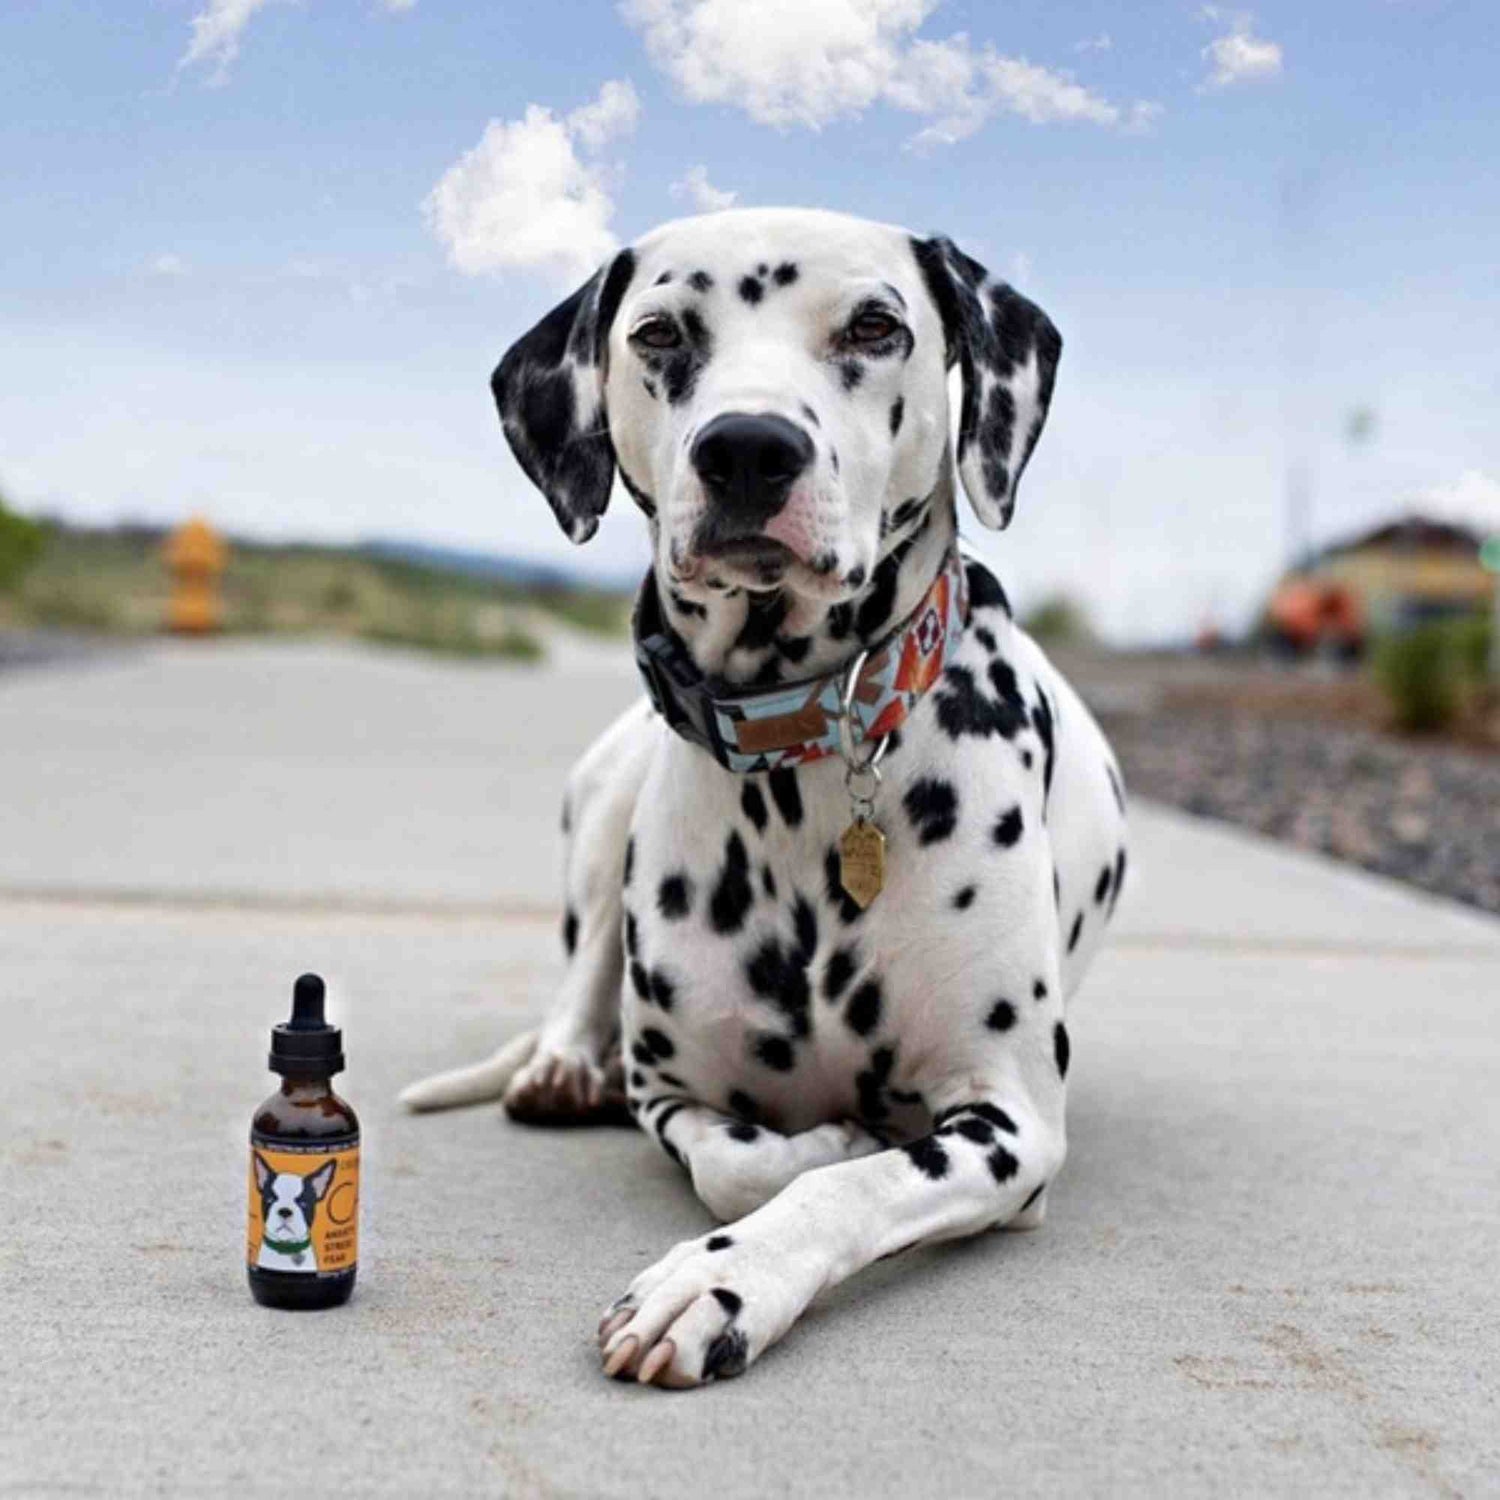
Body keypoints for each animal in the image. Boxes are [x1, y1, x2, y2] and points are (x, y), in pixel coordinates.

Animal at [399, 205, 1128, 1386]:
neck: (806, 750)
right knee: (583, 971)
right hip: (606, 800)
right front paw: (817, 1141)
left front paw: (719, 1282)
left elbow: (849, 1183)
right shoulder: (671, 1095)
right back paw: (561, 1065)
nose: (747, 447)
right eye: (658, 333)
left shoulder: (1010, 1118)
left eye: (876, 325)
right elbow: (739, 1162)